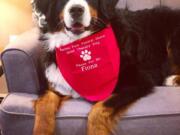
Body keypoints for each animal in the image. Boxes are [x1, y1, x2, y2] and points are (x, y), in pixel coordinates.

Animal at [31, 0, 180, 135]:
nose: (76, 10)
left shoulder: (138, 80)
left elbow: (98, 110)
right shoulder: (55, 84)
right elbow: (43, 105)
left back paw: (172, 80)